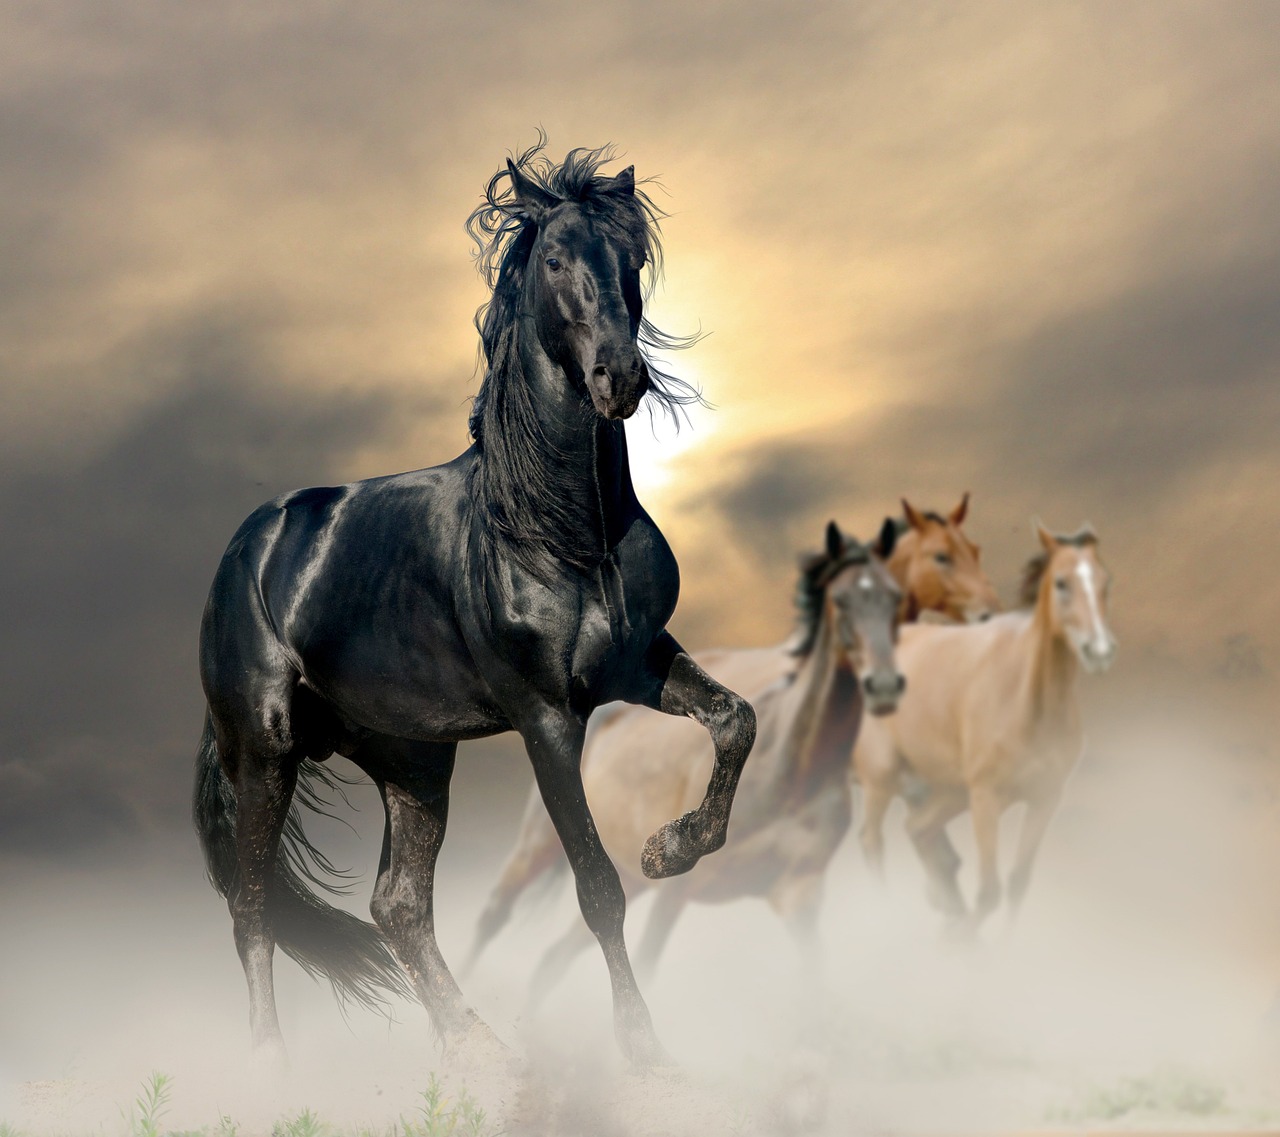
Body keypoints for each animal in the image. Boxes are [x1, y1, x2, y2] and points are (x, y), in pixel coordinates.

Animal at [192, 141, 758, 1068]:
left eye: (631, 258)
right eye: (556, 259)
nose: (620, 377)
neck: (558, 531)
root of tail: (247, 548)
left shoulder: (641, 664)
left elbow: (735, 719)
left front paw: (671, 847)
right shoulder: (546, 717)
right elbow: (597, 886)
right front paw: (643, 1048)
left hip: (413, 762)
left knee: (398, 905)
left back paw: (479, 1049)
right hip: (265, 751)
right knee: (252, 910)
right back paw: (272, 1067)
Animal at [465, 521, 904, 989]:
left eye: (896, 597)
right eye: (841, 600)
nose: (884, 685)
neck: (794, 771)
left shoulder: (798, 897)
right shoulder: (677, 892)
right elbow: (649, 961)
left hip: (631, 878)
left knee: (558, 955)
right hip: (539, 846)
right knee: (493, 917)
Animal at [854, 523, 1117, 931]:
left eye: (1105, 582)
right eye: (1061, 582)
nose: (1099, 651)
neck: (1029, 704)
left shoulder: (1045, 798)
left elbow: (1017, 884)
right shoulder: (986, 798)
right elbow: (989, 892)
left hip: (947, 791)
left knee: (919, 830)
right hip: (882, 779)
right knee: (871, 842)